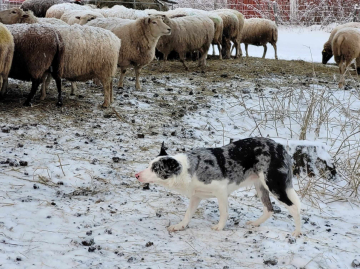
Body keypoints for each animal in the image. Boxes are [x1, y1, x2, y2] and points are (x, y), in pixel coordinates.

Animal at [135, 137, 300, 236]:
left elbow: (223, 212)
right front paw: (180, 226)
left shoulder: (221, 191)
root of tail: (280, 147)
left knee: (294, 207)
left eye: (156, 169)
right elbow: (187, 214)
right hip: (260, 186)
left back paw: (297, 233)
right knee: (269, 209)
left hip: (274, 186)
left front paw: (219, 227)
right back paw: (255, 223)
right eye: (149, 165)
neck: (190, 169)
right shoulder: (196, 196)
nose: (136, 175)